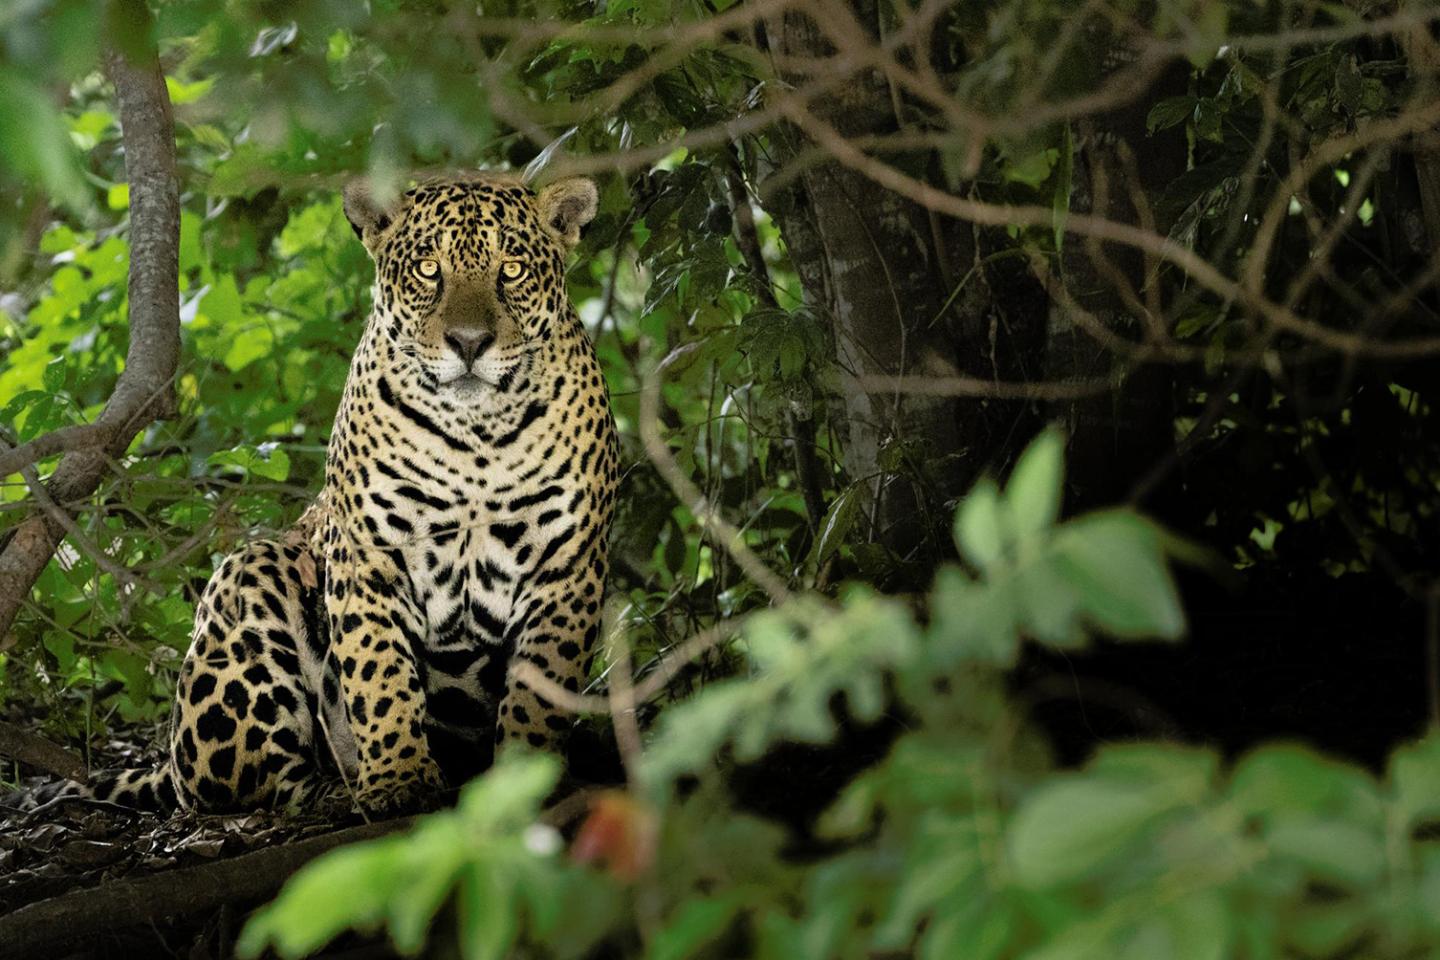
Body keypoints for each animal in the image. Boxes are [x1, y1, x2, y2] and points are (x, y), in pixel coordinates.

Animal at [47, 172, 618, 814]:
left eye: (512, 269)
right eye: (428, 269)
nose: (469, 342)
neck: (479, 435)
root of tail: (169, 763)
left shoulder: (567, 566)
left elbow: (541, 688)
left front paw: (527, 775)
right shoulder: (368, 555)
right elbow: (379, 671)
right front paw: (398, 778)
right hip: (253, 577)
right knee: (257, 787)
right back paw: (339, 792)